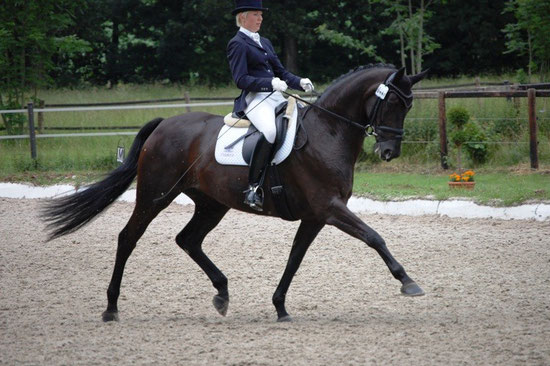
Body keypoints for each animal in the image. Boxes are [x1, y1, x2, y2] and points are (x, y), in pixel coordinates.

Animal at [43, 64, 432, 322]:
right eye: (393, 104)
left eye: (409, 106)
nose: (389, 152)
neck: (329, 131)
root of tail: (165, 123)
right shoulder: (330, 208)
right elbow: (374, 237)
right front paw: (408, 282)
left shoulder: (315, 216)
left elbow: (295, 258)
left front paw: (280, 306)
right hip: (155, 195)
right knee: (128, 237)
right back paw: (111, 308)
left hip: (211, 204)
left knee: (188, 240)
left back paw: (222, 293)